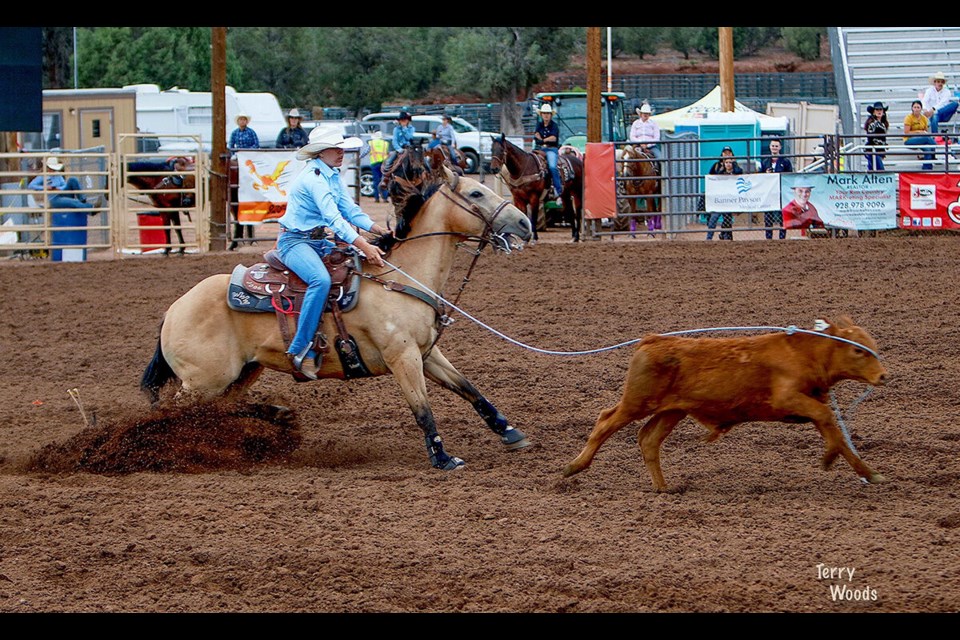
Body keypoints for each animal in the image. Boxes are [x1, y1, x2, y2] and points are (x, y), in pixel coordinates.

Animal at [141, 168, 532, 472]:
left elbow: (469, 388)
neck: (399, 278)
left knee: (217, 412)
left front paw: (510, 432)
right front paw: (443, 458)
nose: (525, 223)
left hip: (239, 374)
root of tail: (173, 311)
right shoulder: (402, 357)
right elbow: (422, 408)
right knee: (172, 415)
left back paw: (275, 416)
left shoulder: (425, 352)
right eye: (476, 192)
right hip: (204, 380)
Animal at [564, 316, 892, 490]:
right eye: (858, 351)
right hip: (637, 402)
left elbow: (833, 430)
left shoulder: (808, 404)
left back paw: (663, 488)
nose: (883, 376)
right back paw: (574, 466)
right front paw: (835, 461)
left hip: (672, 411)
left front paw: (860, 469)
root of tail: (653, 340)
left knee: (648, 439)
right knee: (605, 421)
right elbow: (826, 417)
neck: (805, 353)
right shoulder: (789, 398)